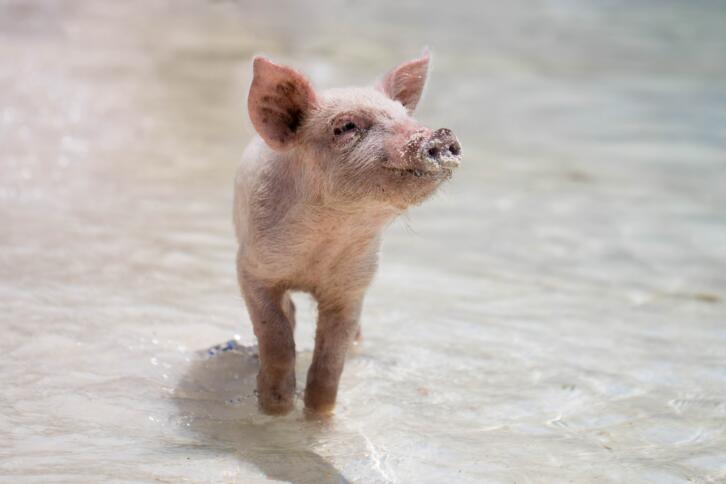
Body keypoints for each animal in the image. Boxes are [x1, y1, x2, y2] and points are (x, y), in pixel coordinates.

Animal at [234, 51, 461, 416]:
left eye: (404, 116)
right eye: (345, 127)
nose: (440, 135)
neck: (326, 242)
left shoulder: (353, 286)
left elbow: (330, 361)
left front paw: (318, 415)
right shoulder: (251, 268)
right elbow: (276, 336)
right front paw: (276, 408)